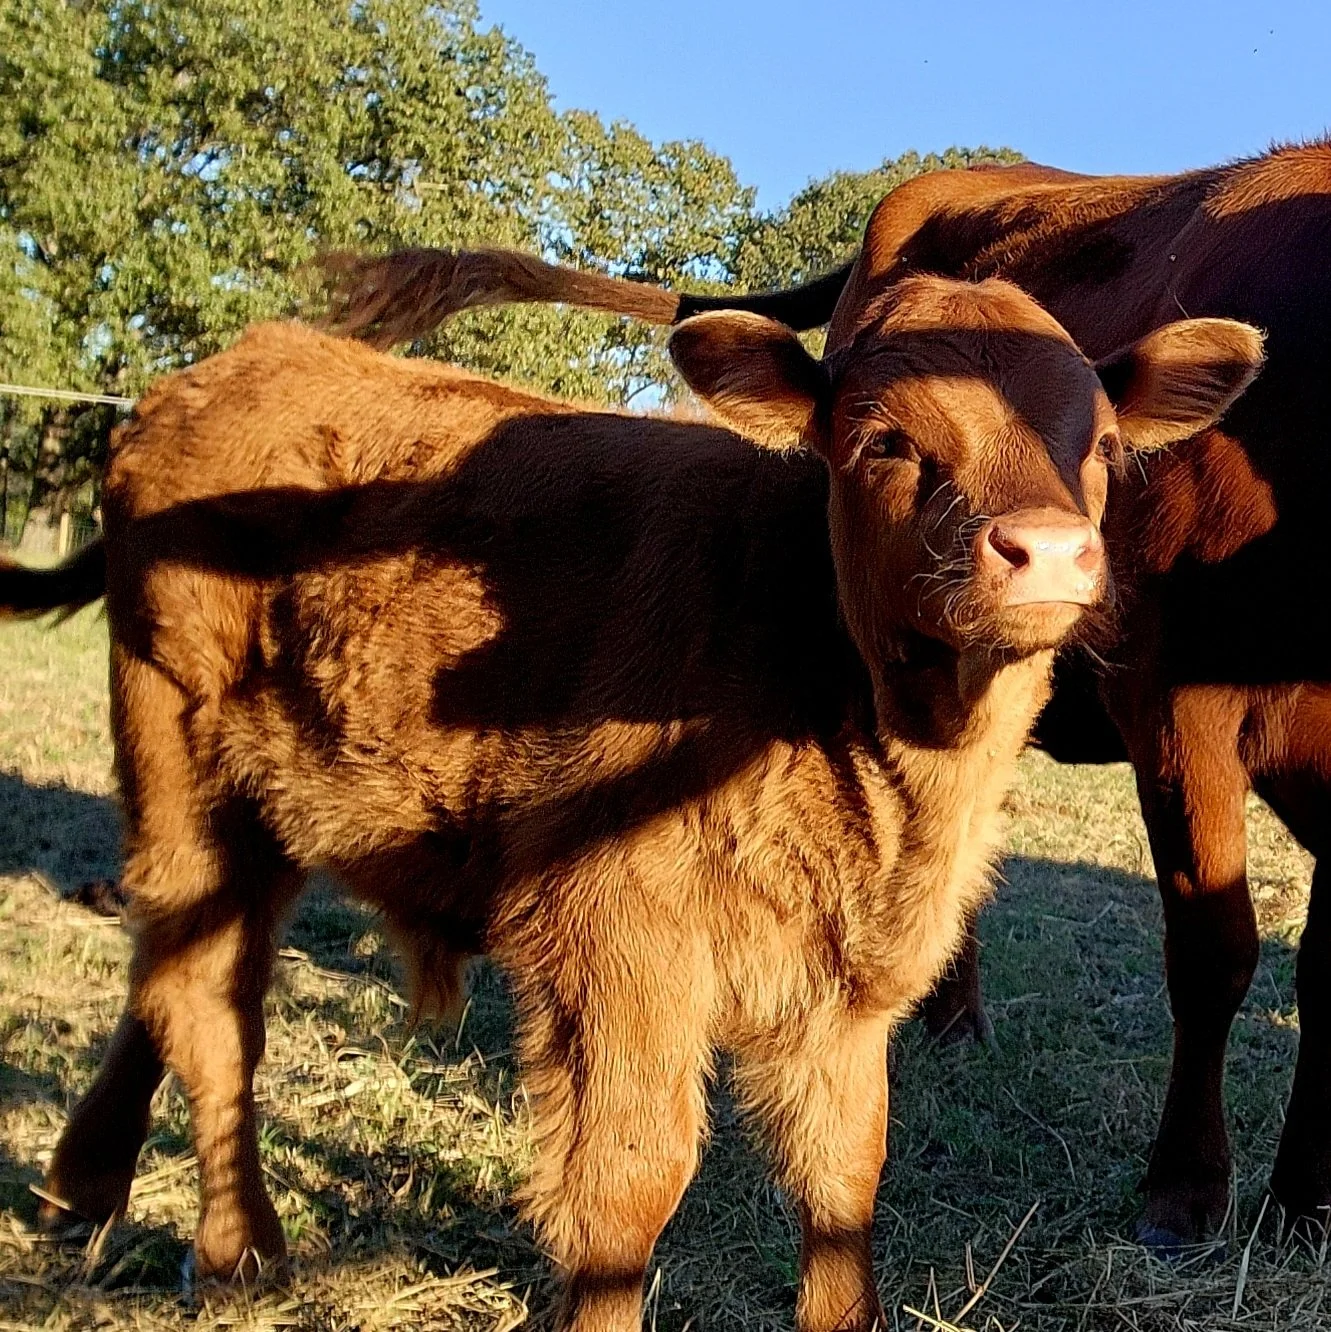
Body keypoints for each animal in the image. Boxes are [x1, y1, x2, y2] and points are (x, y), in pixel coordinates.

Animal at [0, 285, 1255, 1329]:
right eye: (884, 442)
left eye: (1099, 449)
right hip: (182, 765)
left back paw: (85, 1187)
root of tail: (220, 371)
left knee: (174, 972)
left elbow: (842, 1179)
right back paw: (239, 1252)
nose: (1044, 552)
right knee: (208, 1001)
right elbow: (627, 1188)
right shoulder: (616, 940)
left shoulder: (845, 988)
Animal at [322, 141, 1331, 1249]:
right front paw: (1184, 1191)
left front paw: (1305, 1197)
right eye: (883, 440)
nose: (1049, 552)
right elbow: (1212, 949)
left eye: (1105, 447)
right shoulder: (1169, 701)